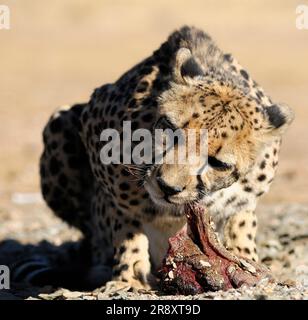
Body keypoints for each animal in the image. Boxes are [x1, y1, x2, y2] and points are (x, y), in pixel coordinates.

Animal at [36, 26, 294, 292]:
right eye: (171, 129)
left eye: (217, 163)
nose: (167, 187)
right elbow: (126, 224)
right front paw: (130, 278)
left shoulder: (247, 197)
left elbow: (240, 224)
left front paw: (247, 262)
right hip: (60, 124)